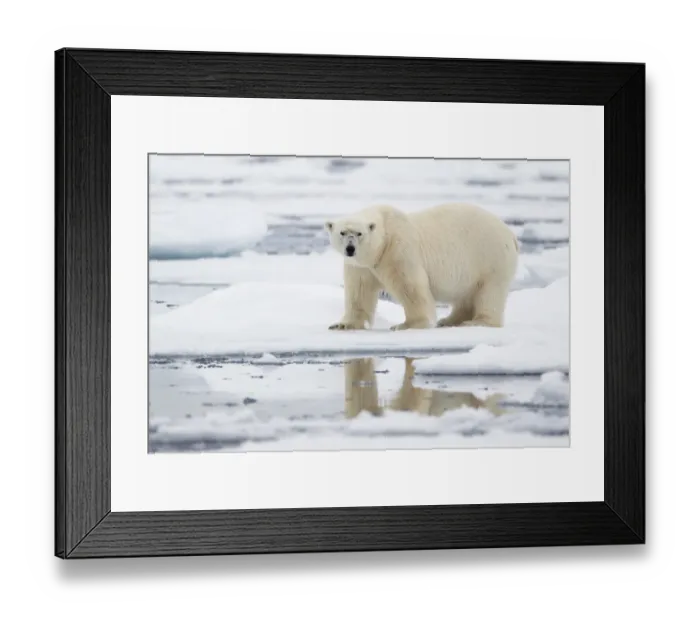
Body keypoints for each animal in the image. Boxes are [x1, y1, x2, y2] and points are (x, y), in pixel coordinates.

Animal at [324, 202, 519, 331]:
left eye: (359, 233)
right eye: (342, 232)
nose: (350, 249)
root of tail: (510, 234)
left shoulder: (398, 249)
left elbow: (410, 287)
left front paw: (407, 325)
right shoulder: (361, 266)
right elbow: (359, 291)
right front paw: (342, 324)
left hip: (489, 257)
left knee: (489, 291)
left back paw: (478, 322)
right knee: (466, 296)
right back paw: (449, 321)